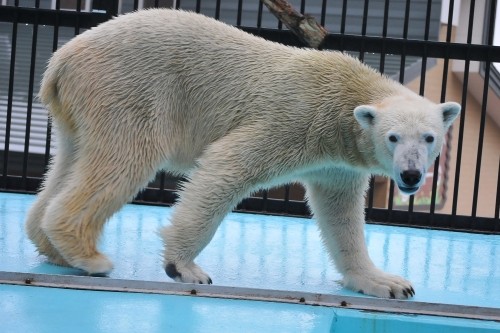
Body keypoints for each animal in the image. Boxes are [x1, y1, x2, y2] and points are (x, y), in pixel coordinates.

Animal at [25, 8, 458, 298]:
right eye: (393, 138)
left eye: (429, 138)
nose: (412, 176)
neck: (346, 93)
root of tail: (61, 59)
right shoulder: (295, 119)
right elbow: (227, 164)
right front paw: (185, 268)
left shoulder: (337, 161)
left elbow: (340, 214)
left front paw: (387, 282)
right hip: (129, 89)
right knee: (126, 159)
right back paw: (88, 255)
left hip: (78, 109)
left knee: (71, 160)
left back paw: (52, 247)